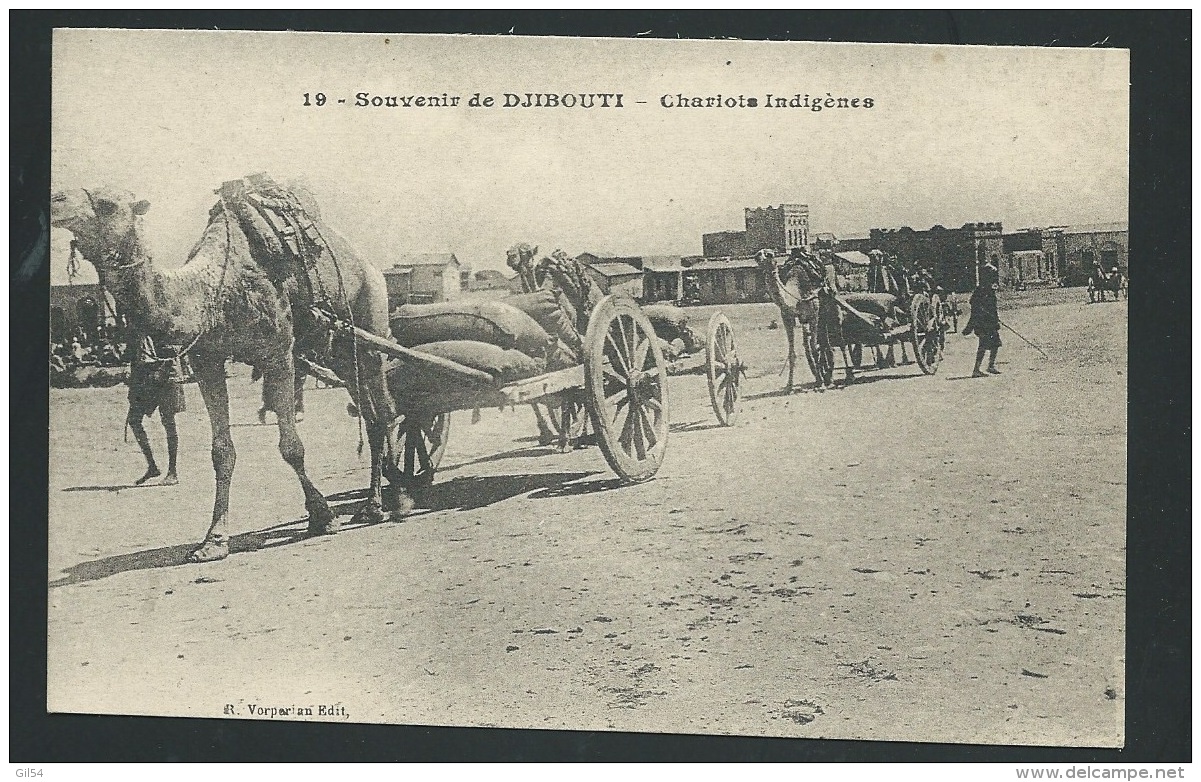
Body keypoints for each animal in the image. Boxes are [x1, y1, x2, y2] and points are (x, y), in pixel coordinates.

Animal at [50, 182, 408, 562]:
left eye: (107, 204)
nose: (56, 201)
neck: (212, 292)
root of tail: (369, 265)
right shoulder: (207, 361)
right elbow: (221, 452)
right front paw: (213, 540)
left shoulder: (279, 353)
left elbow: (291, 447)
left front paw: (322, 516)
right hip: (339, 350)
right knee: (370, 413)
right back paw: (373, 504)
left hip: (371, 322)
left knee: (386, 409)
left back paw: (395, 501)